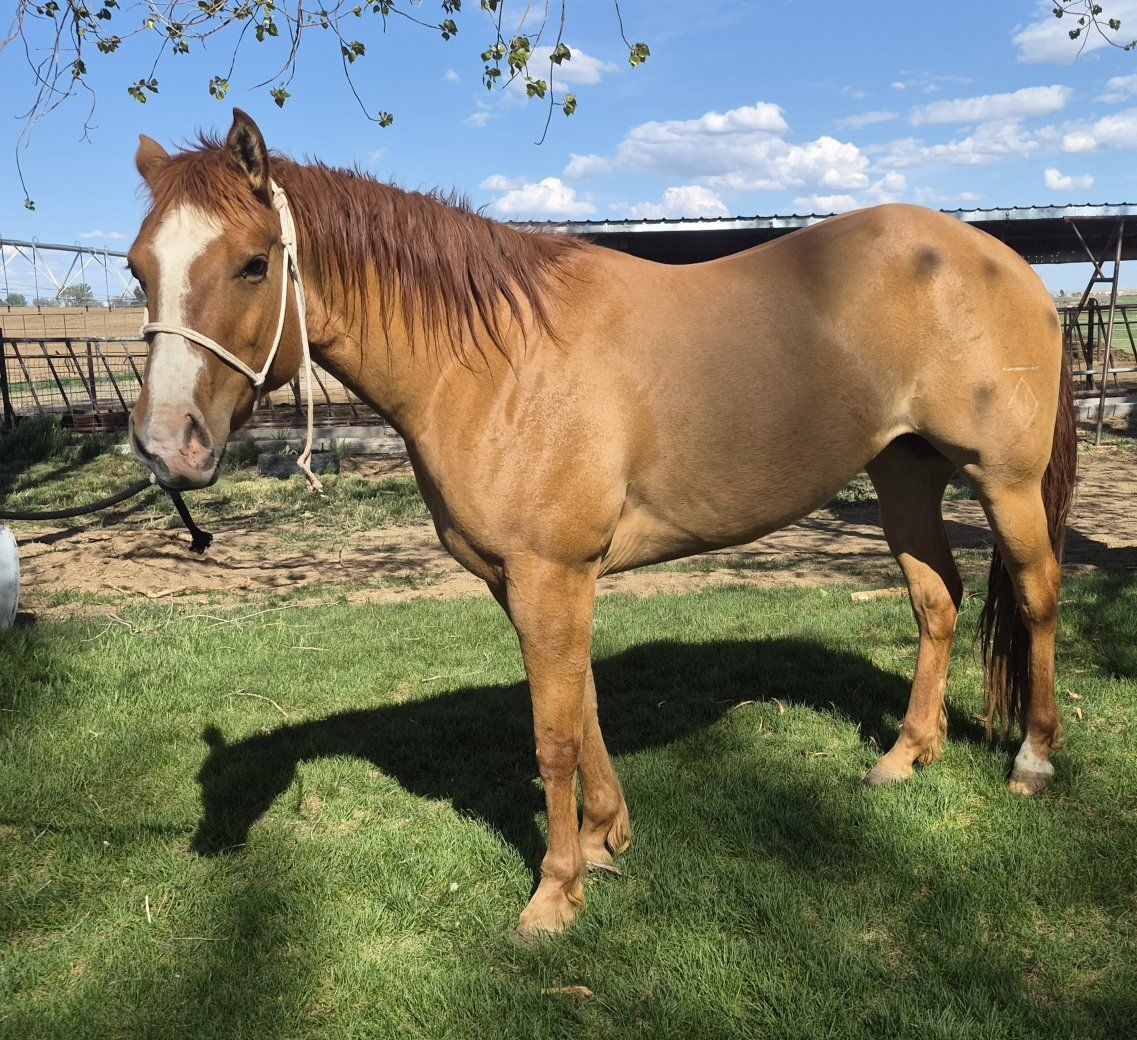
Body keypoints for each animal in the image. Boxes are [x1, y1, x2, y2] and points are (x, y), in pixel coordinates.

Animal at [127, 109, 1076, 942]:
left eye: (254, 264)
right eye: (139, 270)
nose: (168, 447)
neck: (494, 360)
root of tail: (1000, 261)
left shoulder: (551, 572)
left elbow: (551, 736)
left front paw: (555, 894)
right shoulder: (529, 581)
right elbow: (580, 708)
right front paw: (603, 839)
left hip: (1003, 481)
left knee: (1036, 597)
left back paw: (1033, 761)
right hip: (901, 471)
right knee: (936, 601)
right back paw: (906, 755)